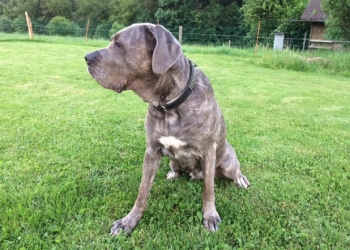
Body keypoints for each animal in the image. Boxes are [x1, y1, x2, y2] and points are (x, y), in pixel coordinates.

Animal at [84, 22, 249, 235]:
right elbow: (142, 190)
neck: (168, 105)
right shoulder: (152, 150)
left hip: (227, 164)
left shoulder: (208, 150)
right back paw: (173, 173)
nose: (86, 57)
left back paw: (240, 179)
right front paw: (129, 221)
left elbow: (209, 190)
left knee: (232, 172)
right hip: (172, 161)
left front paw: (210, 216)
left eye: (119, 45)